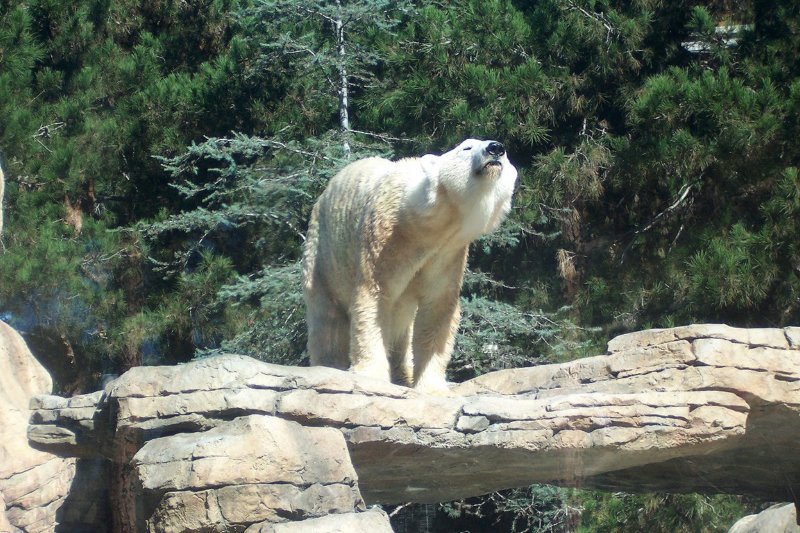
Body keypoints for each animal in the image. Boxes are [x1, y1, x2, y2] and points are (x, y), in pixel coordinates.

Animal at [302, 140, 520, 390]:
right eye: (466, 148)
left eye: (506, 155)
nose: (496, 148)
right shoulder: (386, 239)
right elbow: (375, 297)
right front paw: (371, 375)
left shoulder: (447, 254)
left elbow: (437, 309)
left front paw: (433, 387)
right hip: (322, 253)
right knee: (326, 315)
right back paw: (328, 365)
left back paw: (402, 375)